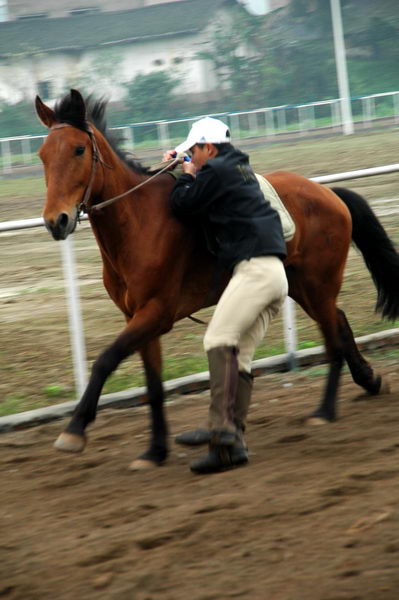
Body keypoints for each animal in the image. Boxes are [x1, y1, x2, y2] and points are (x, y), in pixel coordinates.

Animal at [35, 89, 399, 472]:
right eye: (43, 155)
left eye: (78, 149)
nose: (56, 220)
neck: (138, 221)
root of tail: (328, 193)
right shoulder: (135, 316)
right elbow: (153, 384)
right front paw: (155, 450)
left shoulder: (156, 313)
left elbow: (106, 359)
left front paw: (74, 429)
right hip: (305, 288)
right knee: (340, 323)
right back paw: (370, 380)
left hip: (318, 285)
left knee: (333, 339)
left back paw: (325, 410)